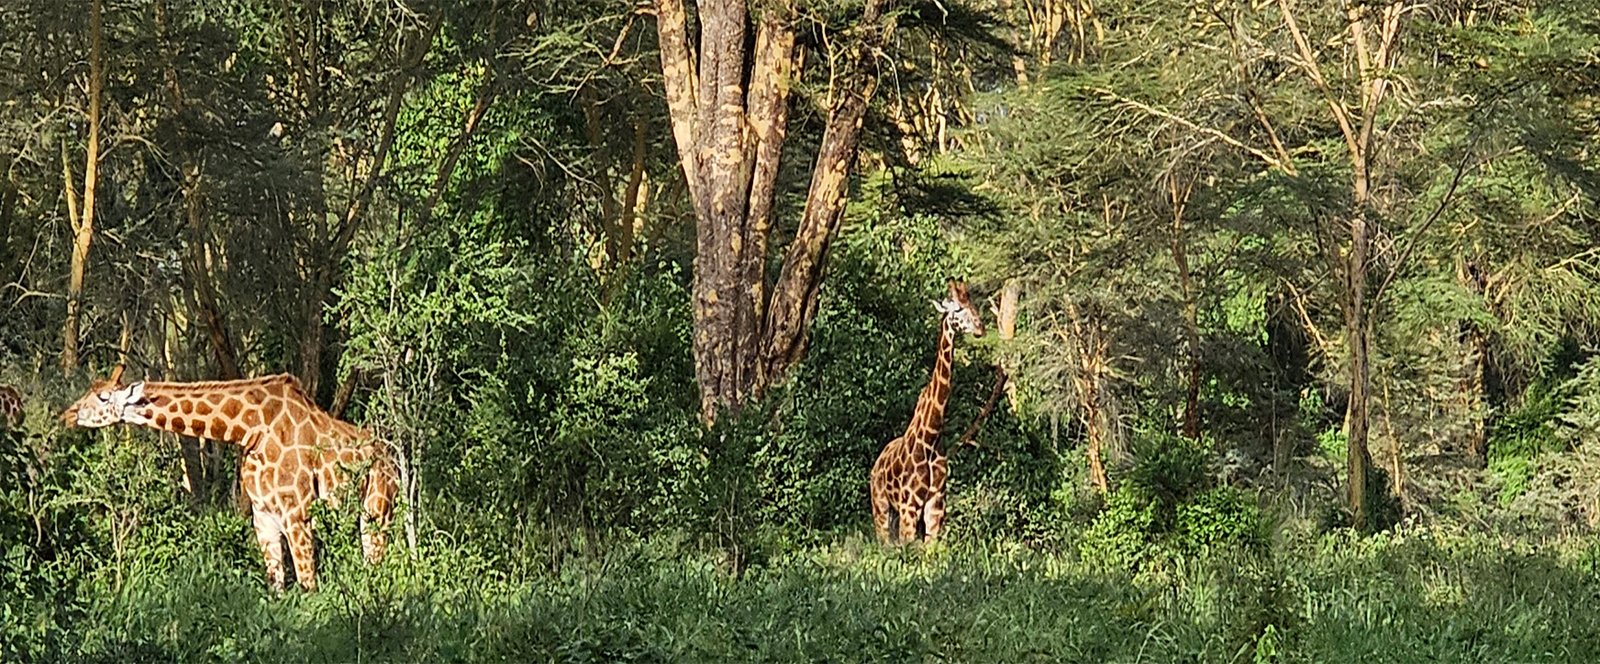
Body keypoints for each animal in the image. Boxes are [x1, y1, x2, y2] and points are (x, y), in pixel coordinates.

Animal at [62, 367, 397, 591]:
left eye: (103, 396)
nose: (67, 415)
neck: (250, 430)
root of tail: (391, 458)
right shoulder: (263, 516)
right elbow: (277, 587)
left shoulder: (298, 513)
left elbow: (308, 585)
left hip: (378, 507)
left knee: (377, 558)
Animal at [870, 279, 986, 545]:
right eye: (956, 309)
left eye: (972, 304)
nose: (980, 328)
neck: (932, 435)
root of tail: (877, 462)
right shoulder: (909, 505)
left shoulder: (935, 506)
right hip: (881, 507)